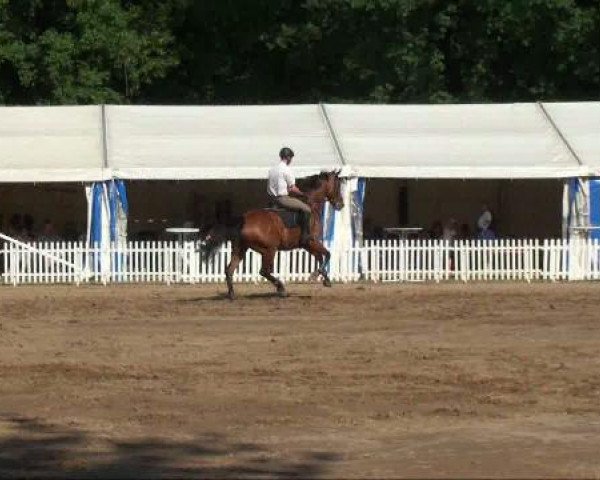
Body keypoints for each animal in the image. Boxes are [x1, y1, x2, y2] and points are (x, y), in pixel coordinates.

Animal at [199, 170, 344, 300]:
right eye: (337, 185)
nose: (341, 205)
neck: (311, 206)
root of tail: (243, 219)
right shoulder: (311, 242)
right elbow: (327, 254)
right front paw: (316, 275)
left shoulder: (308, 245)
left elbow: (321, 257)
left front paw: (325, 278)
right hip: (269, 250)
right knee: (263, 271)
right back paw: (281, 289)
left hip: (240, 249)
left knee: (229, 270)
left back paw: (232, 295)